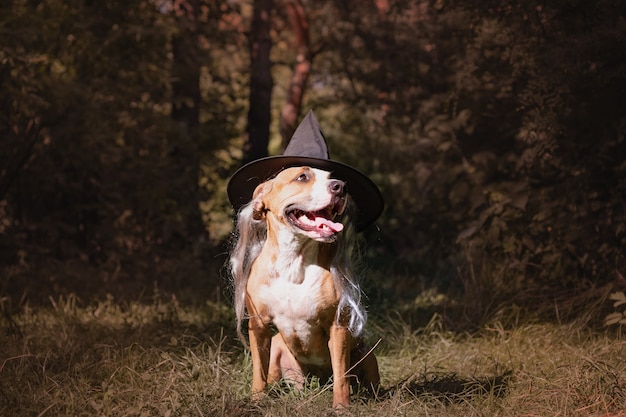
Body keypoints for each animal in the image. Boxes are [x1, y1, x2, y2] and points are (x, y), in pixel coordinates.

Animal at [228, 165, 378, 406]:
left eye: (332, 177)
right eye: (302, 177)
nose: (340, 187)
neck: (293, 260)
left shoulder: (338, 326)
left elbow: (341, 376)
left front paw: (341, 407)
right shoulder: (258, 326)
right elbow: (258, 371)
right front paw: (257, 401)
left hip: (366, 352)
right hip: (277, 347)